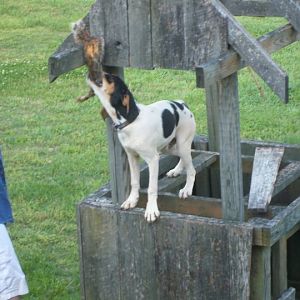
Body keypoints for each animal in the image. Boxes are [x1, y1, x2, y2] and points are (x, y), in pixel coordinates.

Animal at [86, 73, 197, 221]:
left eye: (109, 79)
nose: (90, 73)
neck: (131, 122)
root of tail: (182, 104)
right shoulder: (132, 157)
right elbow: (134, 182)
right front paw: (131, 200)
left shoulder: (153, 160)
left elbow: (151, 188)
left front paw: (151, 210)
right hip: (168, 147)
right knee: (185, 157)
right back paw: (176, 170)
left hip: (181, 144)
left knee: (191, 169)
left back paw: (187, 189)